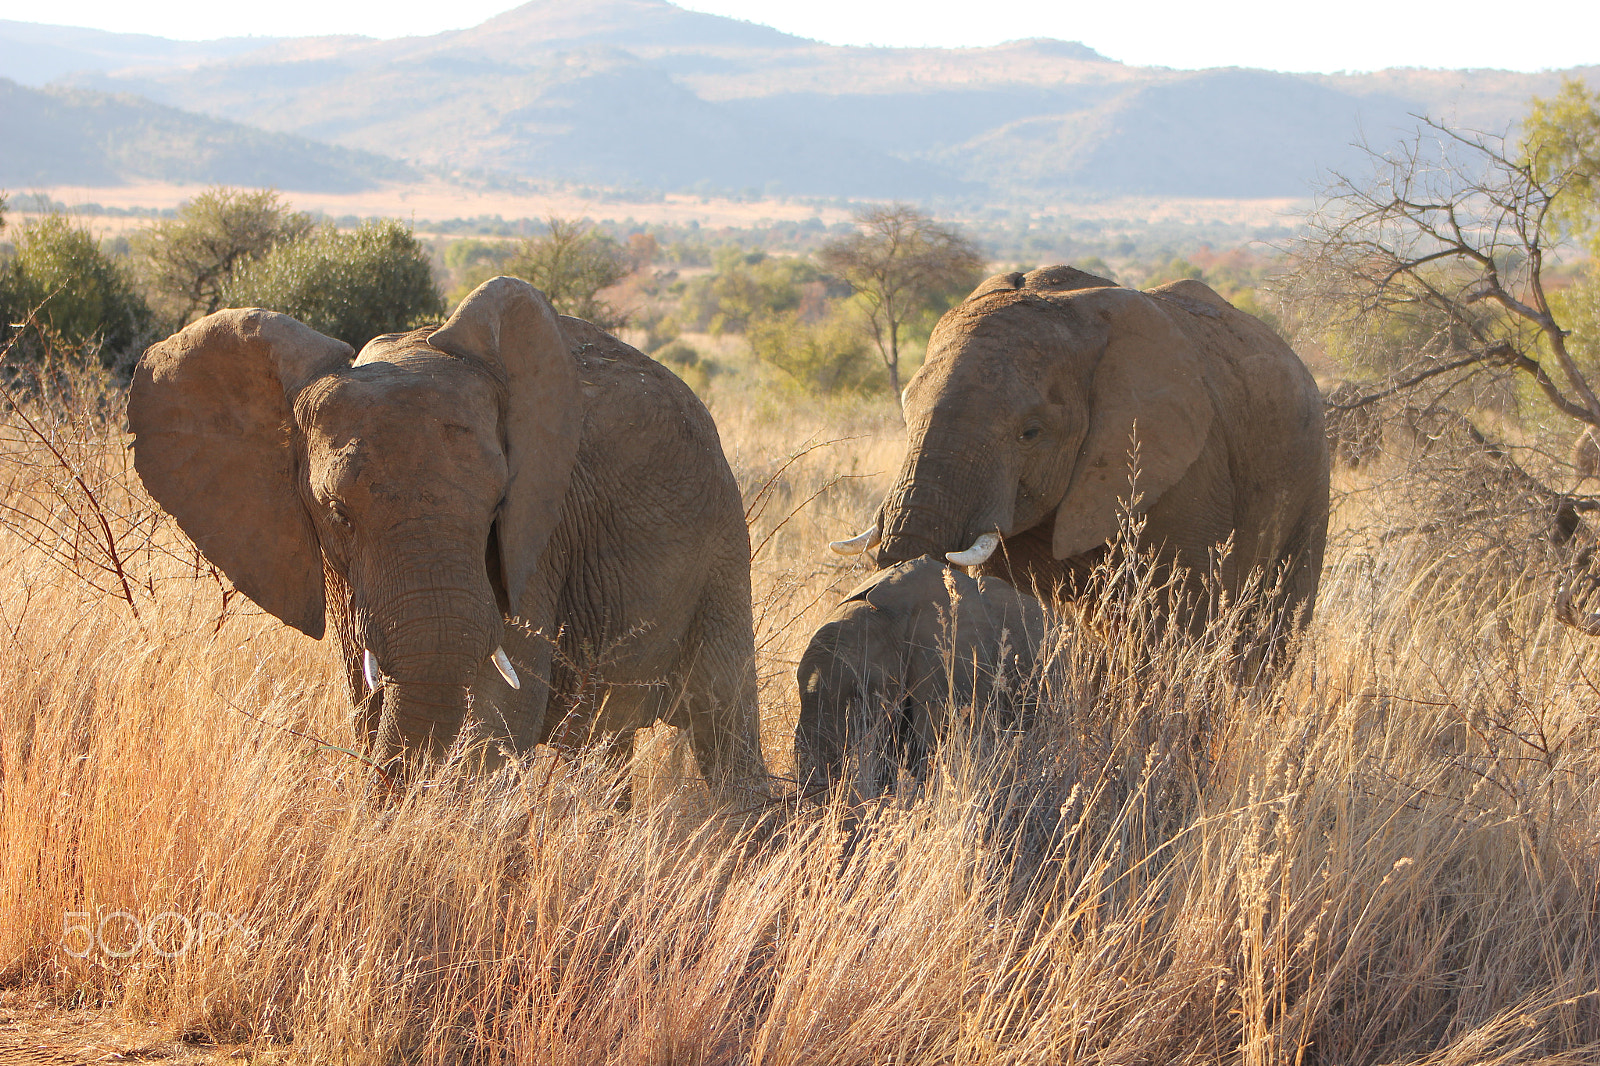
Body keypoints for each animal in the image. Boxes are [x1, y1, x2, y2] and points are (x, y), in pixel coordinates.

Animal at [131, 275, 768, 797]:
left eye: (496, 504)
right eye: (336, 513)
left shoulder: (538, 537)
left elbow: (502, 707)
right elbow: (372, 700)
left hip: (721, 543)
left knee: (723, 720)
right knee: (604, 743)